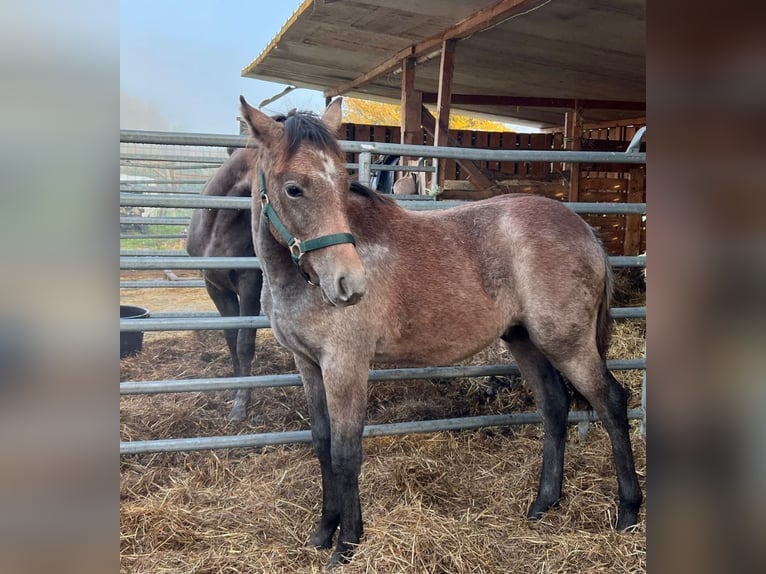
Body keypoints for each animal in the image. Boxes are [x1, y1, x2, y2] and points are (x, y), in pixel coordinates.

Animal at [188, 146, 266, 420]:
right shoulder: (215, 286)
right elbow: (231, 337)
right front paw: (234, 389)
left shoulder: (251, 285)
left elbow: (244, 342)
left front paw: (241, 403)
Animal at [238, 97, 640, 568]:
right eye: (293, 188)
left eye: (341, 182)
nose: (349, 285)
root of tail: (585, 230)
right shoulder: (307, 364)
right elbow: (322, 444)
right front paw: (323, 532)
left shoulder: (345, 366)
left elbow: (345, 452)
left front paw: (347, 544)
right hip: (526, 341)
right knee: (555, 407)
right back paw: (543, 504)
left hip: (568, 344)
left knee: (612, 403)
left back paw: (628, 512)